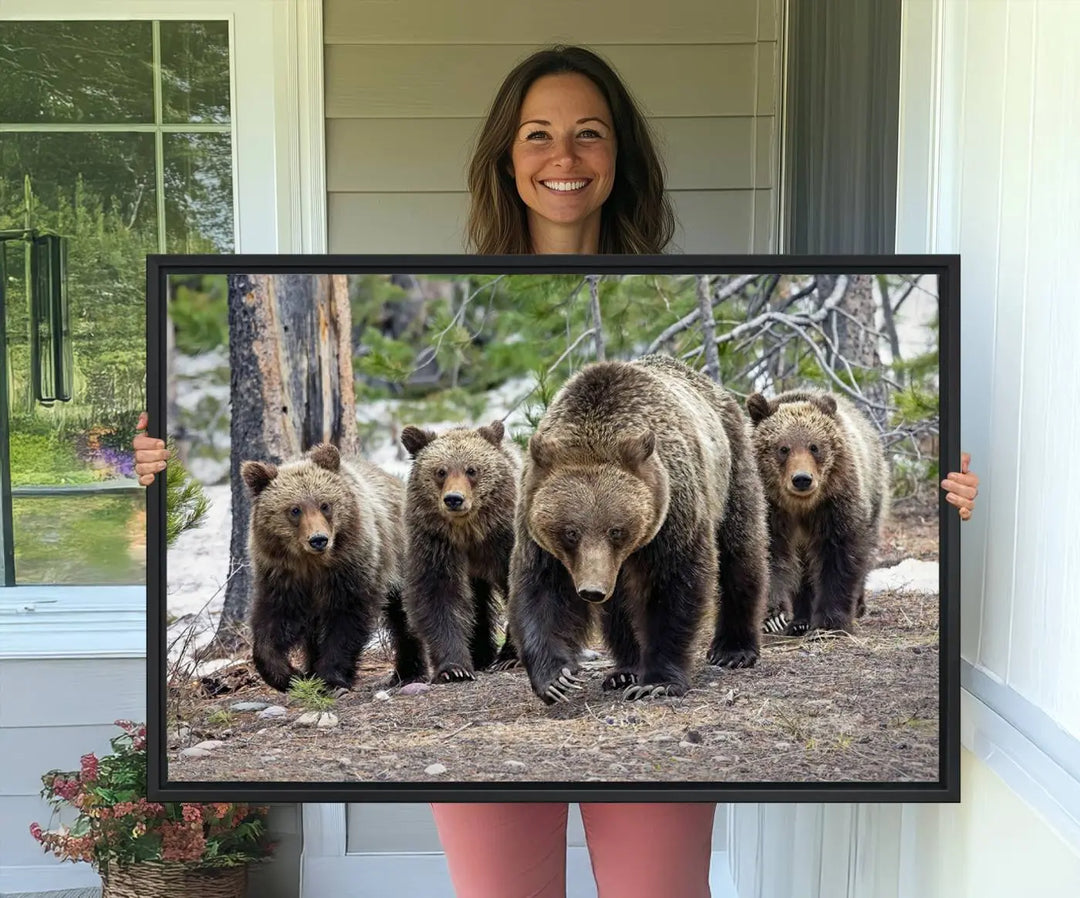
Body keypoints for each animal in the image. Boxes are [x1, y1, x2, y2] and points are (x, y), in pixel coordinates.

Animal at [243, 445, 423, 695]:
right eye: (295, 509)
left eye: (325, 504)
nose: (318, 539)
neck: (314, 564)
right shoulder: (282, 576)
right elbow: (273, 623)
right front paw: (289, 675)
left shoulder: (352, 567)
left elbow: (346, 619)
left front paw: (331, 677)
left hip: (401, 556)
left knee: (404, 614)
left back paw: (408, 670)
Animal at [401, 421, 522, 682]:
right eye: (441, 471)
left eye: (471, 470)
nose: (454, 499)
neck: (470, 532)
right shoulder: (437, 544)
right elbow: (439, 596)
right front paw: (454, 668)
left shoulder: (504, 540)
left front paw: (510, 656)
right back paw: (481, 655)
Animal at [505, 354, 768, 704]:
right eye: (571, 532)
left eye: (616, 530)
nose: (591, 590)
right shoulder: (535, 521)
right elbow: (542, 589)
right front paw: (556, 678)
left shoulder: (673, 510)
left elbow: (673, 586)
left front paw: (657, 681)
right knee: (618, 606)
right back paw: (624, 669)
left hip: (730, 469)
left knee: (741, 550)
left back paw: (733, 649)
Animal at [747, 389, 889, 635]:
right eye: (783, 448)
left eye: (814, 446)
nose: (802, 479)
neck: (801, 506)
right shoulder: (771, 510)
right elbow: (771, 556)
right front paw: (773, 617)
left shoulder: (835, 504)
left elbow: (838, 556)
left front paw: (829, 623)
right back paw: (800, 620)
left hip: (874, 492)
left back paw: (858, 605)